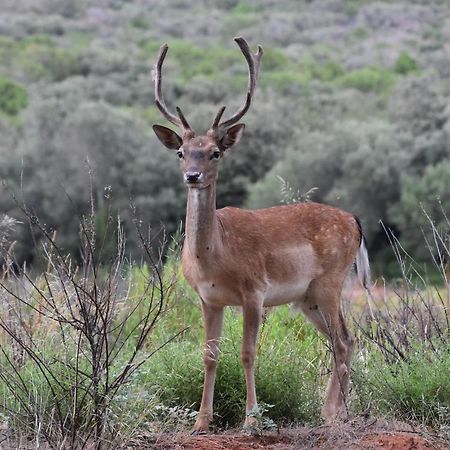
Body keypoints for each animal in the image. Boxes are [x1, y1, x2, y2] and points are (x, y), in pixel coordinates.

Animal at [151, 37, 370, 434]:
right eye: (181, 152)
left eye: (215, 152)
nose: (192, 175)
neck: (215, 257)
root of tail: (354, 221)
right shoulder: (209, 299)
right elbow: (209, 355)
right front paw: (201, 422)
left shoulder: (254, 291)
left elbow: (248, 353)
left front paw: (252, 420)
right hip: (307, 298)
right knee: (343, 339)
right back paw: (334, 412)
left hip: (332, 281)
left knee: (344, 339)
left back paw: (334, 413)